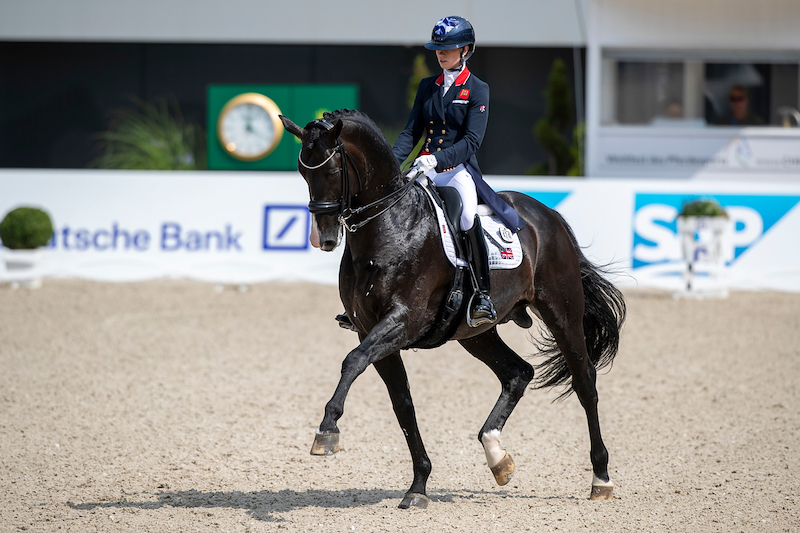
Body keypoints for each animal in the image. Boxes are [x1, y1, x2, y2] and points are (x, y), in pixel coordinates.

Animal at [278, 109, 626, 509]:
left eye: (334, 170)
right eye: (303, 172)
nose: (324, 238)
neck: (389, 226)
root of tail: (547, 214)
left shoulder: (402, 321)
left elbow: (352, 361)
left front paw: (327, 430)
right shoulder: (371, 330)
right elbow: (403, 404)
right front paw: (418, 486)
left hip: (562, 311)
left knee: (585, 382)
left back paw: (601, 478)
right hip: (474, 332)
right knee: (518, 373)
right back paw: (497, 457)